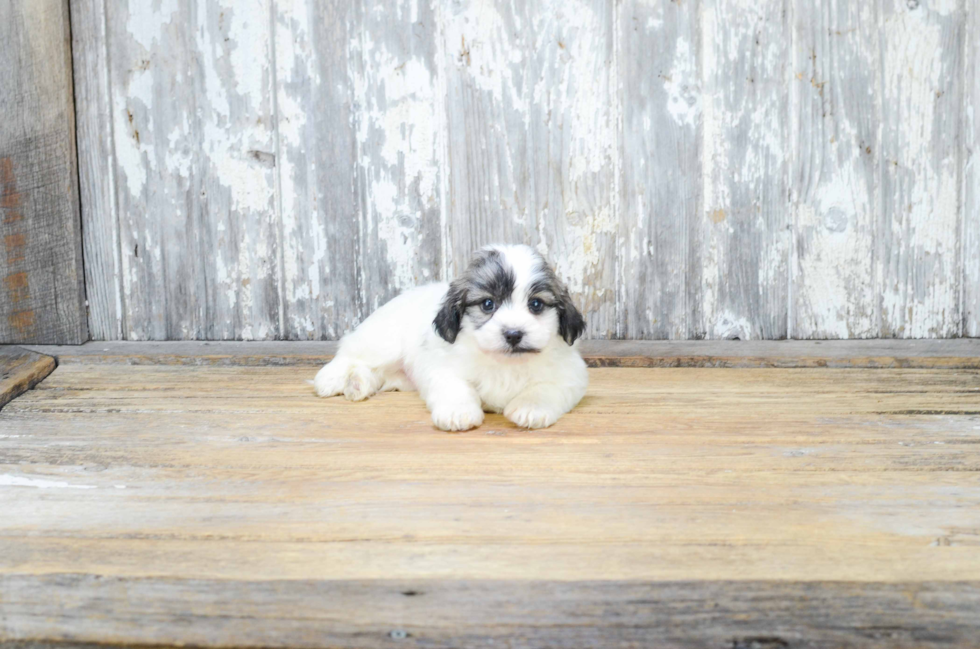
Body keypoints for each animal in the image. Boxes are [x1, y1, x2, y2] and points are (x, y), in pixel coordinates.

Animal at [316, 243, 588, 430]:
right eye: (488, 304)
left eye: (536, 304)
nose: (513, 334)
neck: (504, 363)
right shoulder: (443, 368)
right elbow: (455, 387)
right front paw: (458, 413)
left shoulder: (569, 374)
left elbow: (544, 388)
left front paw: (530, 408)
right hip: (382, 343)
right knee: (350, 352)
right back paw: (331, 379)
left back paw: (357, 383)